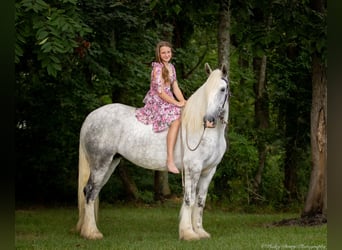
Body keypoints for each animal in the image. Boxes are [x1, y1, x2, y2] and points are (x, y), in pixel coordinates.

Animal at [75, 62, 230, 240]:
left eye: (222, 89)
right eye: (206, 90)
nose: (209, 120)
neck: (205, 131)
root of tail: (90, 117)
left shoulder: (209, 171)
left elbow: (200, 201)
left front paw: (200, 232)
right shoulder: (193, 169)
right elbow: (189, 199)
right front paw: (189, 233)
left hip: (111, 163)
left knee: (93, 192)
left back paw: (88, 230)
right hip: (100, 163)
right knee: (89, 192)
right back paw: (92, 233)